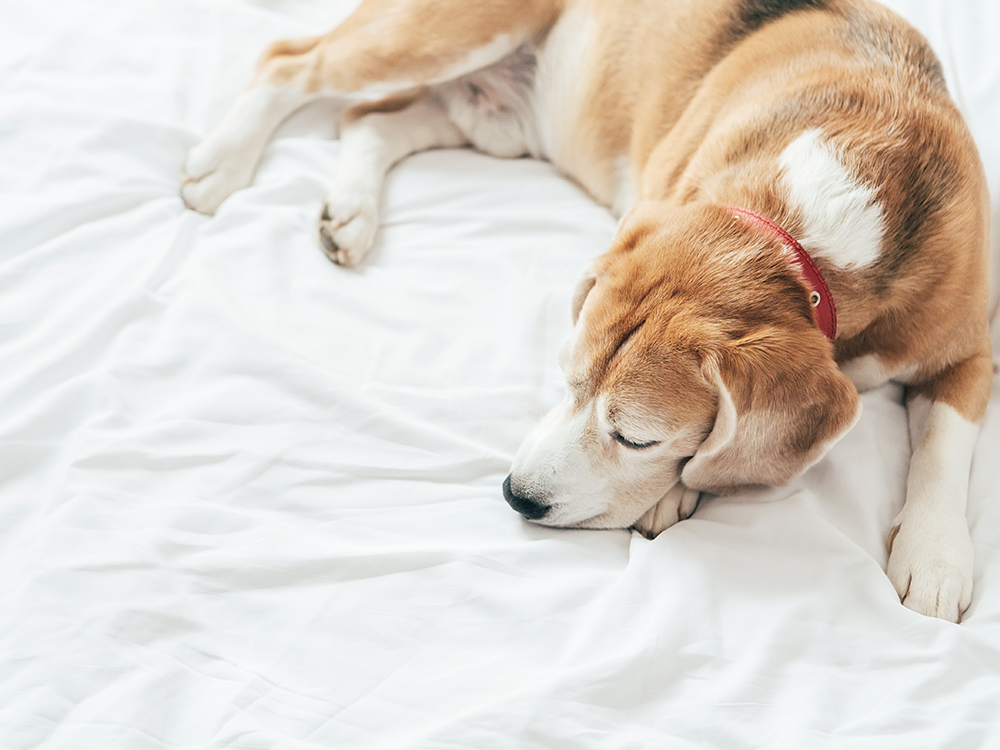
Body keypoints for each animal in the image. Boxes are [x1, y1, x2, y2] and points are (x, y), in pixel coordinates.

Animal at [182, 0, 992, 624]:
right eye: (565, 380)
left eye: (634, 438)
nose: (515, 496)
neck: (801, 239)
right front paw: (678, 494)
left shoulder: (972, 350)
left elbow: (946, 444)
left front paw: (934, 558)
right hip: (437, 37)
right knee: (290, 64)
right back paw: (220, 163)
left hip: (489, 123)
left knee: (369, 123)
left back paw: (349, 211)